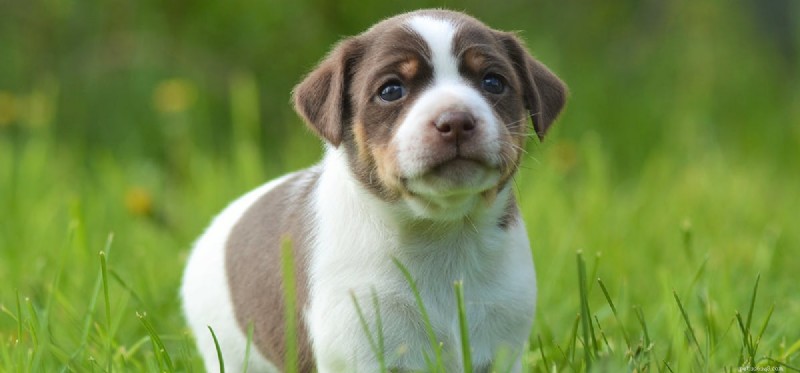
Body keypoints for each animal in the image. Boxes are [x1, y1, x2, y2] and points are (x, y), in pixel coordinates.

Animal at [183, 8, 568, 372]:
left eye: (493, 82)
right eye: (391, 90)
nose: (456, 120)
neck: (441, 232)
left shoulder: (504, 343)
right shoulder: (359, 345)